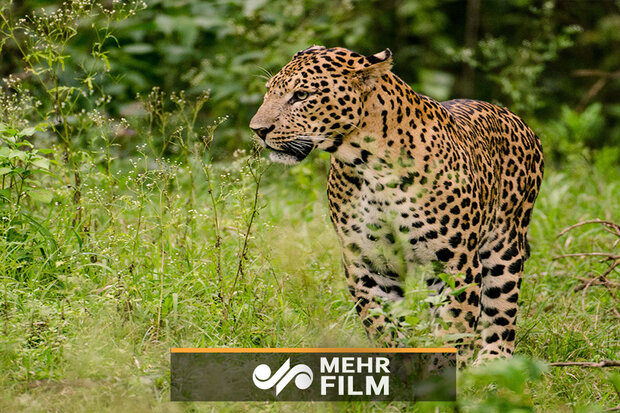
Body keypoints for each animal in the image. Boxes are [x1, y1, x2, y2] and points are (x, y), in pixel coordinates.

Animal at [249, 45, 544, 364]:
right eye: (268, 91)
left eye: (302, 95)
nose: (258, 130)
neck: (370, 167)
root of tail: (516, 119)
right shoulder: (367, 263)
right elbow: (383, 325)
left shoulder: (457, 264)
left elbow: (454, 329)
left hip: (504, 248)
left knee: (501, 315)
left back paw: (491, 363)